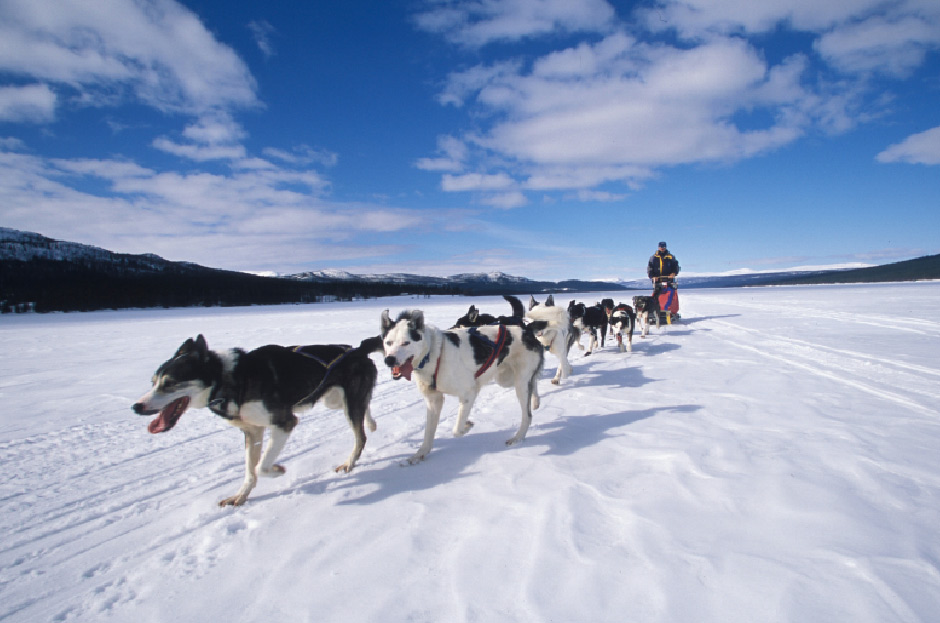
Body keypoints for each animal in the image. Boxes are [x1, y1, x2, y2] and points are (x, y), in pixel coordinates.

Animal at [133, 336, 382, 508]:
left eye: (169, 383)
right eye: (153, 382)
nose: (137, 406)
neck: (232, 379)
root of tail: (357, 350)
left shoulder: (284, 423)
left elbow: (261, 467)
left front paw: (278, 469)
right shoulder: (252, 432)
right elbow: (249, 471)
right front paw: (240, 496)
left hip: (347, 404)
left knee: (360, 436)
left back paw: (350, 461)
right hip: (334, 400)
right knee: (365, 407)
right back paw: (371, 422)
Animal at [380, 310, 544, 464]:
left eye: (405, 343)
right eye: (388, 343)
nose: (389, 360)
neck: (435, 354)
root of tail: (526, 330)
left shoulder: (468, 394)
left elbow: (456, 430)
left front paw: (467, 425)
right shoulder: (433, 401)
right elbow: (428, 433)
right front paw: (420, 454)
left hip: (520, 384)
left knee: (527, 415)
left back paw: (518, 437)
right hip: (506, 379)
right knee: (534, 380)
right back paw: (536, 400)